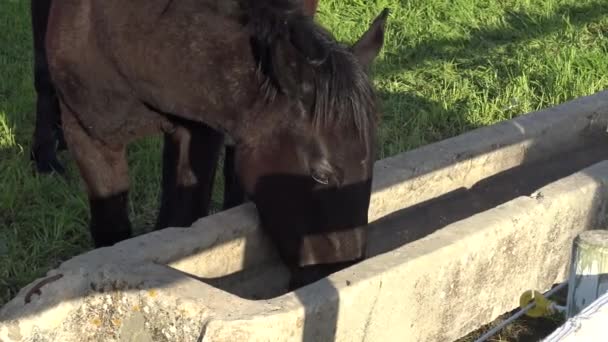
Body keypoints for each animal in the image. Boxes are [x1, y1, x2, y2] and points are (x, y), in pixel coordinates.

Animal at [46, 0, 390, 288]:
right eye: (321, 175)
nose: (339, 271)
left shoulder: (199, 132)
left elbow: (180, 220)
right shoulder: (87, 134)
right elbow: (112, 228)